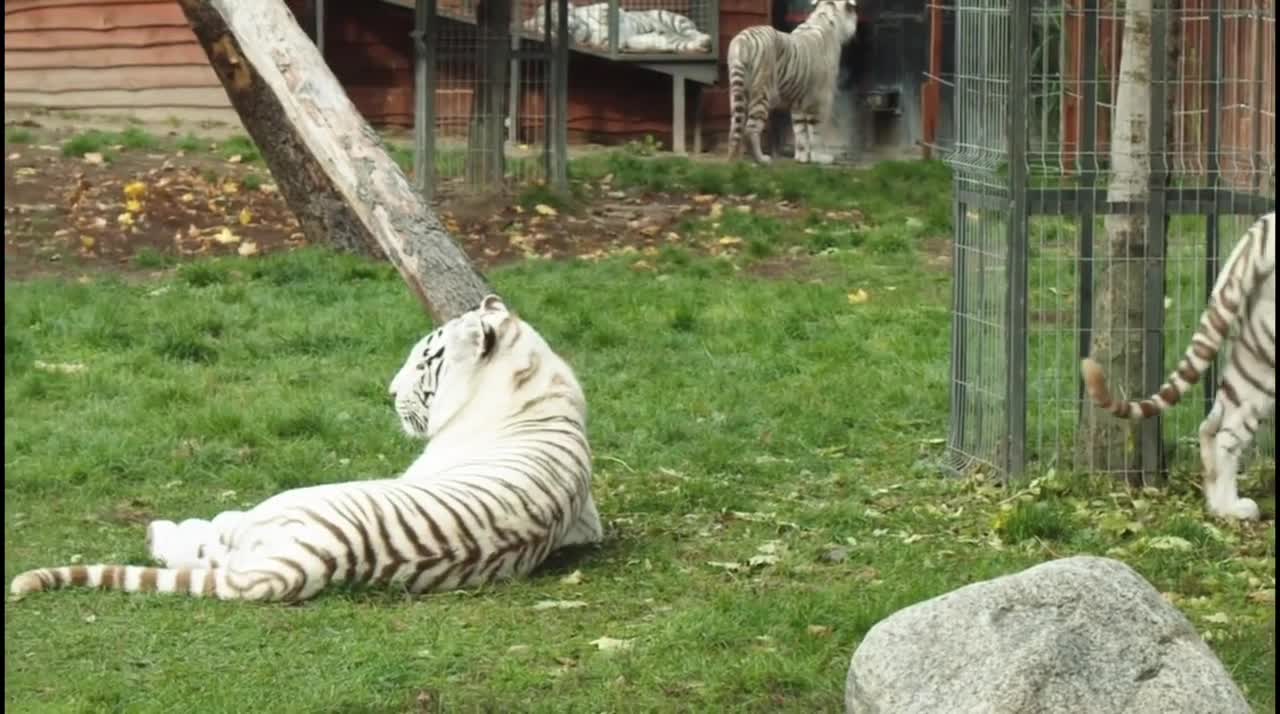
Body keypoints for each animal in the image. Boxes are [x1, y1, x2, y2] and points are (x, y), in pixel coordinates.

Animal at [11, 296, 604, 603]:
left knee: (215, 541)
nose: (389, 391)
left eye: (424, 361)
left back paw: (162, 531)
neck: (536, 378)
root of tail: (309, 560)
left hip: (281, 507)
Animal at [727, 0, 855, 165]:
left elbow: (800, 132)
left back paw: (735, 159)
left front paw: (802, 158)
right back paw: (762, 159)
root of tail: (743, 39)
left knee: (735, 127)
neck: (824, 18)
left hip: (737, 91)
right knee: (751, 130)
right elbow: (816, 132)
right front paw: (820, 158)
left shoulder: (798, 102)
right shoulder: (820, 100)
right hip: (762, 92)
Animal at [1080, 211, 1269, 519]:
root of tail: (1264, 231)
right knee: (1226, 433)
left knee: (1217, 428)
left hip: (1256, 352)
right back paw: (1232, 508)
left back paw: (1223, 507)